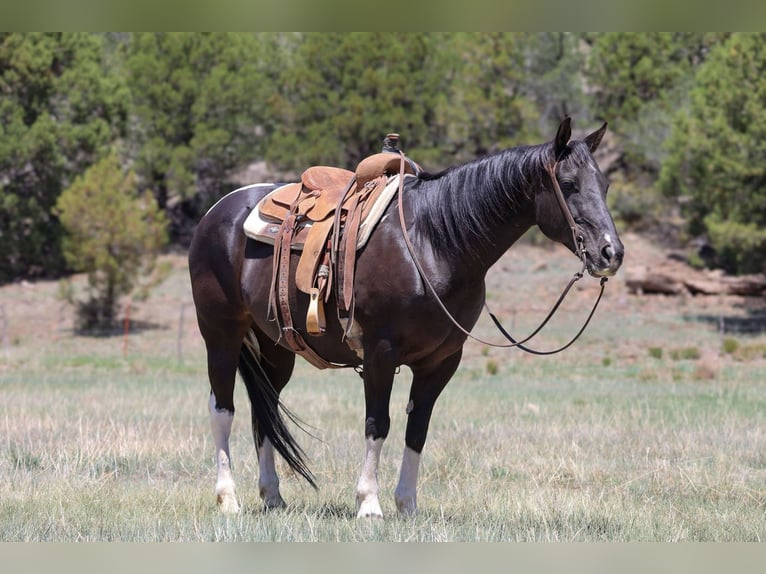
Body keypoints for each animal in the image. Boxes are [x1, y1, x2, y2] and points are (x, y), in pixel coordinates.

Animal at [188, 117, 624, 518]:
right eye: (568, 184)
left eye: (604, 185)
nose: (611, 253)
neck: (433, 242)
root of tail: (216, 211)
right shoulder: (380, 353)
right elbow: (377, 424)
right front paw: (369, 504)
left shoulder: (441, 361)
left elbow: (418, 430)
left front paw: (407, 504)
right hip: (220, 333)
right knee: (222, 408)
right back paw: (228, 498)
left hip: (276, 348)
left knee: (266, 407)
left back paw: (273, 496)